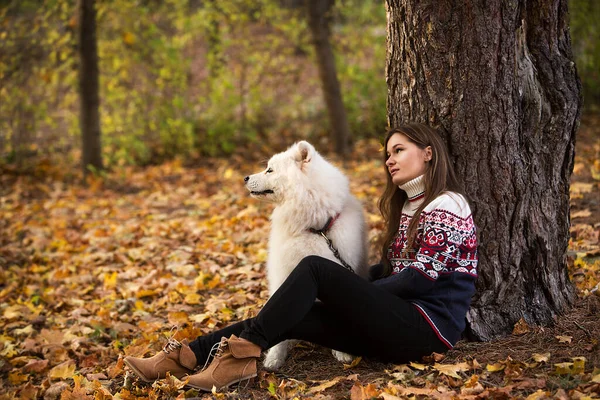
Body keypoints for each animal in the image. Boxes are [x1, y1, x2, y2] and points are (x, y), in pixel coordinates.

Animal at [243, 141, 366, 372]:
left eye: (269, 170)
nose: (245, 177)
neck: (316, 229)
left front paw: (342, 351)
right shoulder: (284, 275)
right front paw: (275, 357)